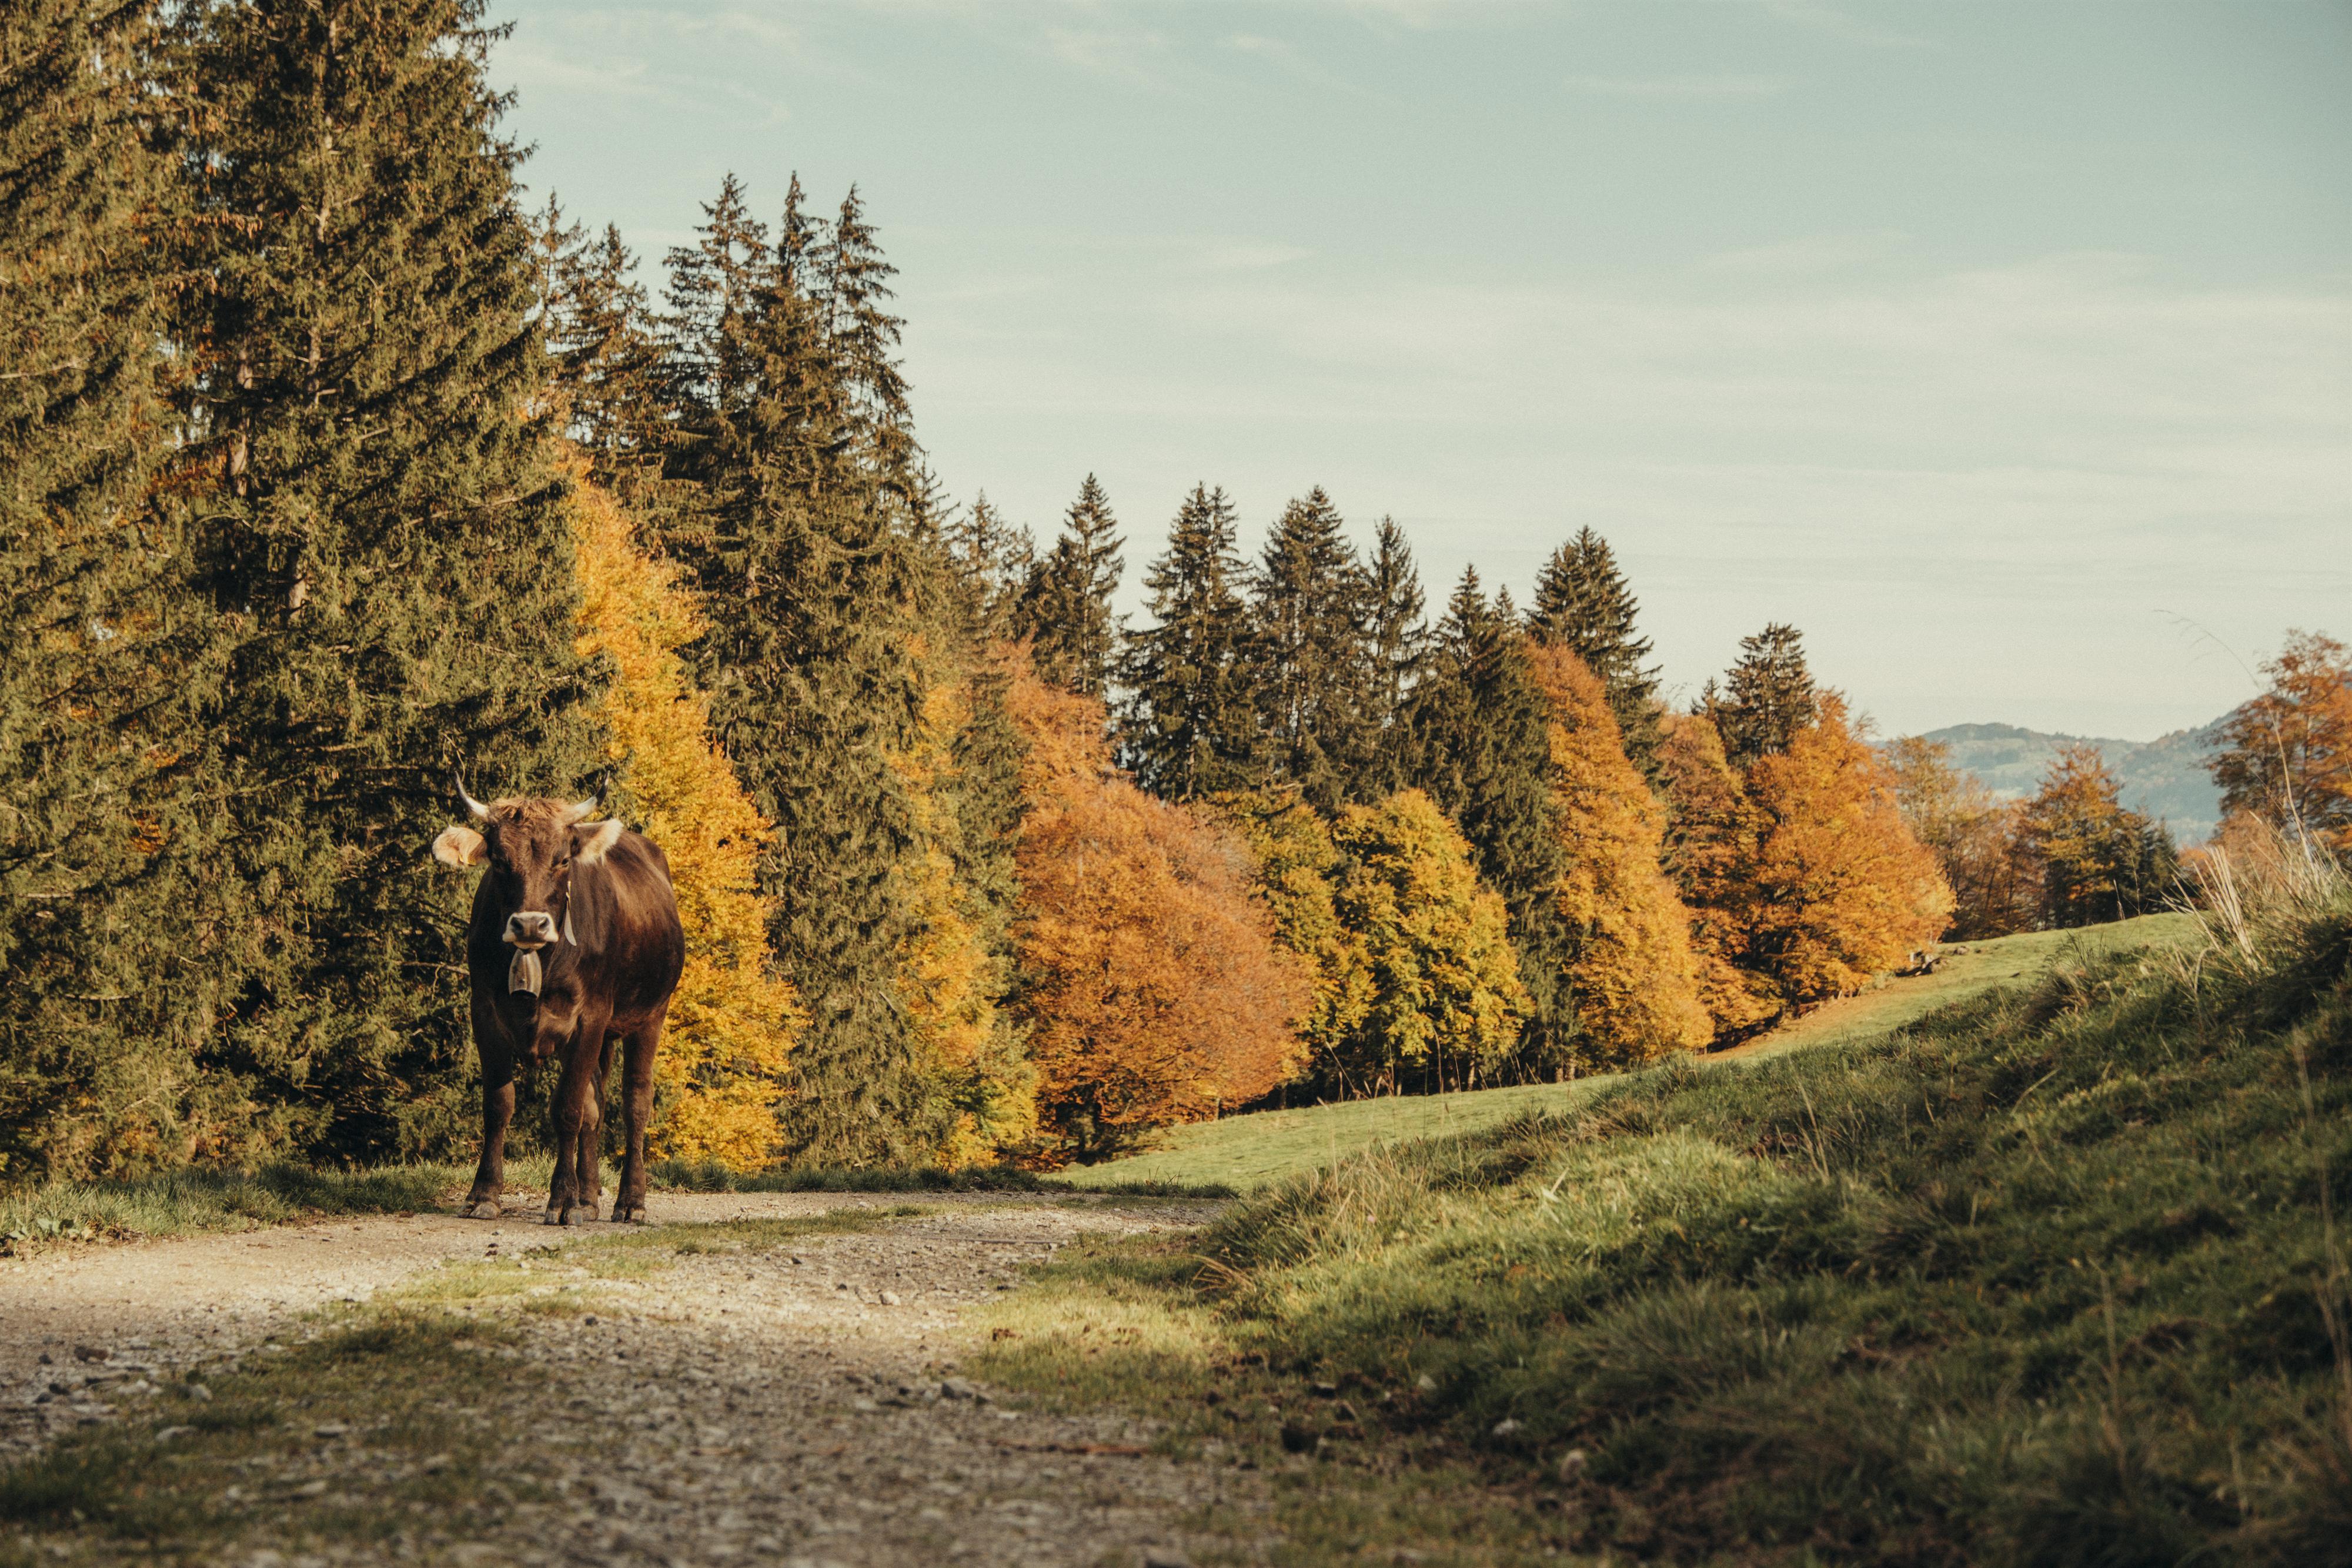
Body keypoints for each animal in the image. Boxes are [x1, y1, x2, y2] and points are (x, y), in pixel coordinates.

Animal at [430, 781, 685, 1225]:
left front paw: (563, 1200)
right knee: (595, 1106)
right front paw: (485, 1194)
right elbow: (499, 1105)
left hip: (650, 1014)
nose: (530, 924)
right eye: (499, 860)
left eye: (563, 860)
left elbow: (567, 1108)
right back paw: (589, 1197)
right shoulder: (484, 1013)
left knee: (635, 1102)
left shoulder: (589, 1018)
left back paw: (630, 1201)